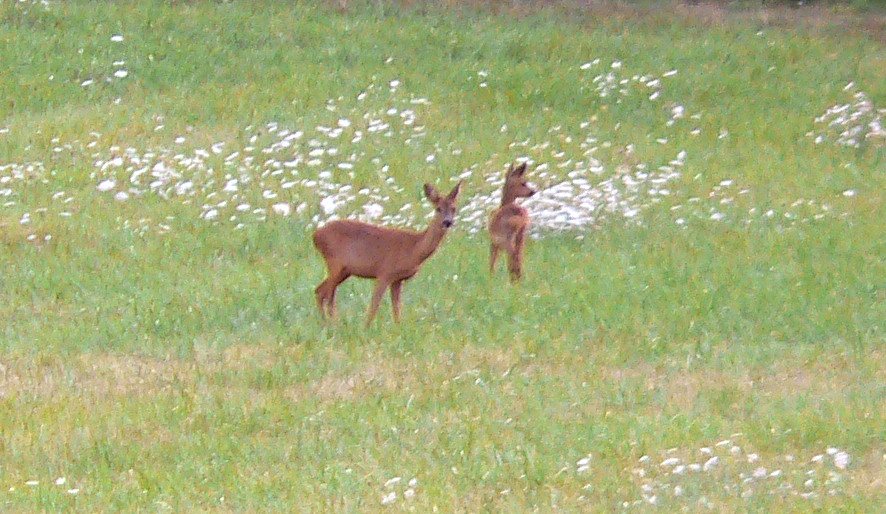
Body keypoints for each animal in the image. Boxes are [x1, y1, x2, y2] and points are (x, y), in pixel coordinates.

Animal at [314, 181, 464, 324]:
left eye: (454, 208)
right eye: (438, 209)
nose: (447, 222)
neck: (414, 248)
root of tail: (315, 235)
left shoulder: (397, 279)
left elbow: (397, 310)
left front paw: (398, 327)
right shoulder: (385, 272)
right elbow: (374, 305)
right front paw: (367, 327)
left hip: (345, 271)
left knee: (322, 292)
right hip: (335, 263)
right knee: (325, 293)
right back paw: (331, 324)